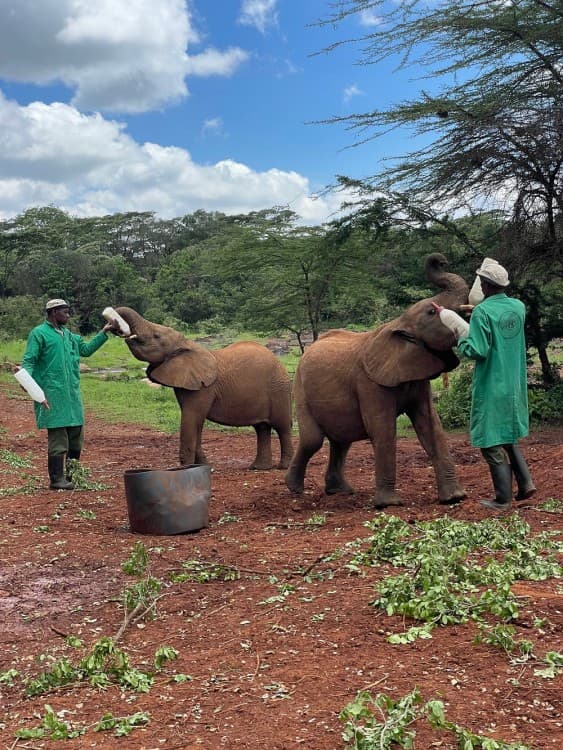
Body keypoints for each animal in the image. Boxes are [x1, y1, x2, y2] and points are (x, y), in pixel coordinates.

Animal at [112, 308, 294, 470]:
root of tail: (279, 362)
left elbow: (192, 418)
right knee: (261, 428)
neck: (186, 343)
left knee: (282, 427)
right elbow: (196, 423)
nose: (114, 325)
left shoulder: (204, 388)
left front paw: (185, 469)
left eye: (156, 336)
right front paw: (204, 466)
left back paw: (283, 467)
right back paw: (258, 468)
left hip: (279, 388)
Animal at [285, 253, 469, 508]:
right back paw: (294, 489)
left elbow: (431, 425)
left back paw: (340, 491)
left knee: (342, 439)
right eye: (431, 313)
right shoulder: (369, 383)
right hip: (300, 388)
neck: (399, 323)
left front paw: (454, 498)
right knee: (314, 440)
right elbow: (383, 429)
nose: (441, 260)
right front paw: (389, 504)